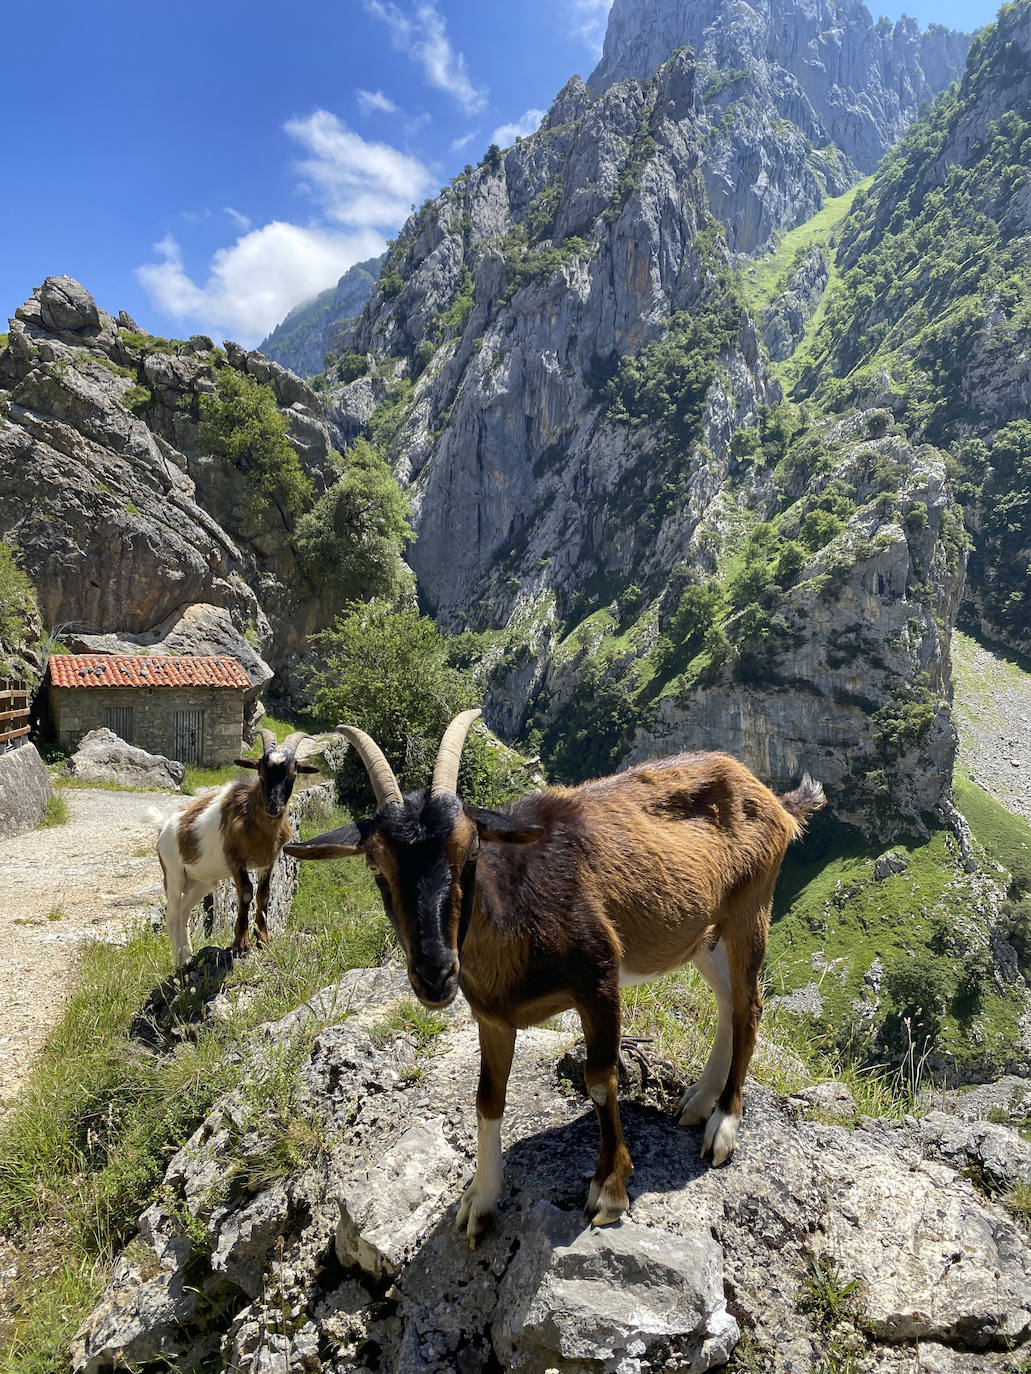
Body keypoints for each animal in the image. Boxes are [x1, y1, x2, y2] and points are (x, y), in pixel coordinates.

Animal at [156, 730, 318, 967]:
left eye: (293, 774)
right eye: (260, 772)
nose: (273, 807)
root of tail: (164, 828)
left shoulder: (268, 861)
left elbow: (264, 894)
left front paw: (264, 940)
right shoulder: (235, 860)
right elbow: (246, 892)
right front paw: (241, 943)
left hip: (200, 882)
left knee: (184, 911)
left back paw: (188, 954)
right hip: (174, 874)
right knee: (173, 914)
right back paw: (179, 960)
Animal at [287, 714, 830, 1242]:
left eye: (470, 853)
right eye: (376, 867)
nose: (436, 973)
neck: (520, 905)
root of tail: (772, 799)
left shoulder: (599, 980)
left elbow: (601, 1080)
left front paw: (609, 1191)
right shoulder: (492, 1016)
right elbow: (487, 1098)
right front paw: (480, 1200)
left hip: (749, 910)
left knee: (749, 1006)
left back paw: (723, 1125)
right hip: (703, 933)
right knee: (726, 1001)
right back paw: (699, 1100)